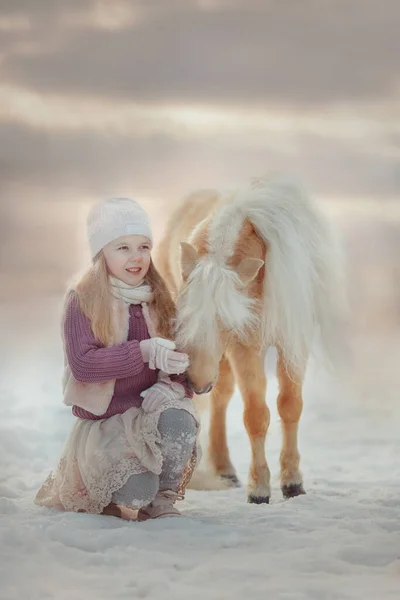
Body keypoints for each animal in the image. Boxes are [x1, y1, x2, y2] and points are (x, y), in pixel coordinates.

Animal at [155, 176, 344, 504]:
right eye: (183, 313)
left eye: (225, 319)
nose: (195, 382)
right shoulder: (245, 346)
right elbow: (256, 415)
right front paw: (259, 490)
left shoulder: (293, 342)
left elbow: (290, 406)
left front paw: (293, 482)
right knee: (222, 398)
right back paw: (225, 469)